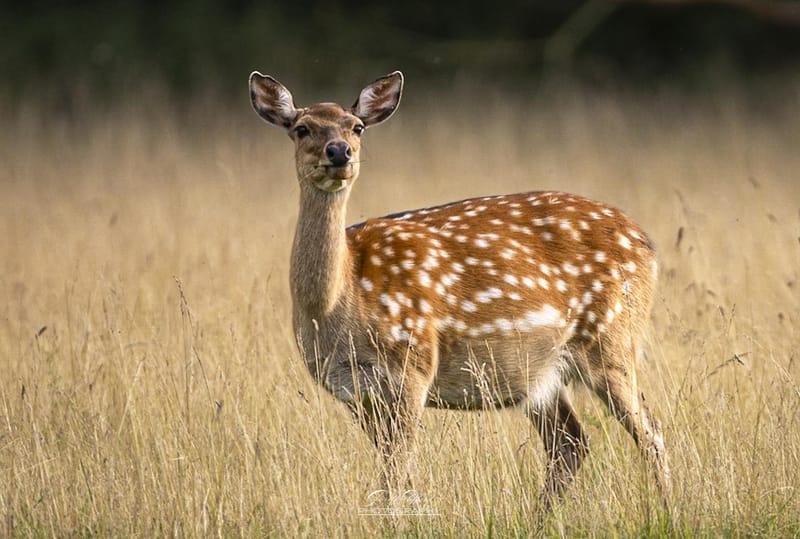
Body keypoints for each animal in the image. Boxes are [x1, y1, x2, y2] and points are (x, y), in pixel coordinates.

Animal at [248, 70, 670, 513]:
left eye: (357, 126)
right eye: (301, 128)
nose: (339, 151)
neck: (339, 305)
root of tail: (646, 243)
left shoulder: (412, 367)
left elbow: (396, 473)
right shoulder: (352, 392)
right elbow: (397, 475)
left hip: (612, 340)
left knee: (650, 432)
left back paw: (667, 511)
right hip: (542, 374)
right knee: (570, 442)